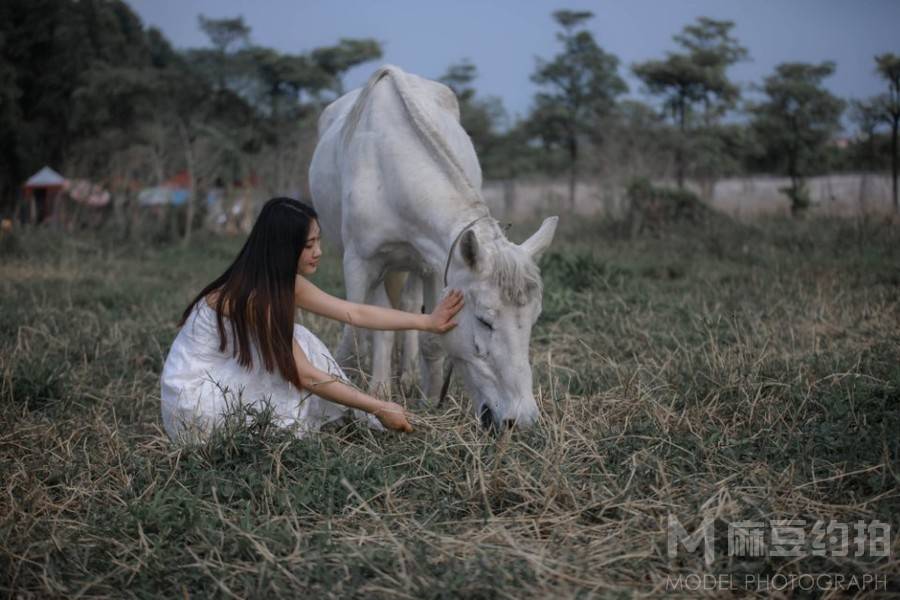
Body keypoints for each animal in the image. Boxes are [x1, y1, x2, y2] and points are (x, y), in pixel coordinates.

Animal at [310, 65, 556, 428]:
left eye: (533, 320)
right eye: (484, 321)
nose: (520, 420)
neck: (390, 167)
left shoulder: (436, 266)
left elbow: (430, 338)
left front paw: (428, 398)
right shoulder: (359, 262)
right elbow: (358, 334)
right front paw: (358, 401)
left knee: (408, 307)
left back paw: (408, 377)